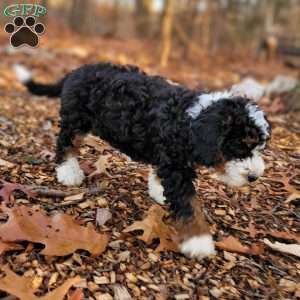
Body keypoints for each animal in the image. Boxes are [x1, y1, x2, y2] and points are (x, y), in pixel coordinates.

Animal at [14, 62, 272, 260]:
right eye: (240, 146)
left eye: (259, 146)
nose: (254, 177)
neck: (189, 121)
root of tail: (75, 72)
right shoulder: (176, 168)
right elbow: (189, 204)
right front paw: (199, 241)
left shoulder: (169, 159)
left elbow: (161, 177)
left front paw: (158, 192)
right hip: (76, 120)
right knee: (66, 144)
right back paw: (68, 172)